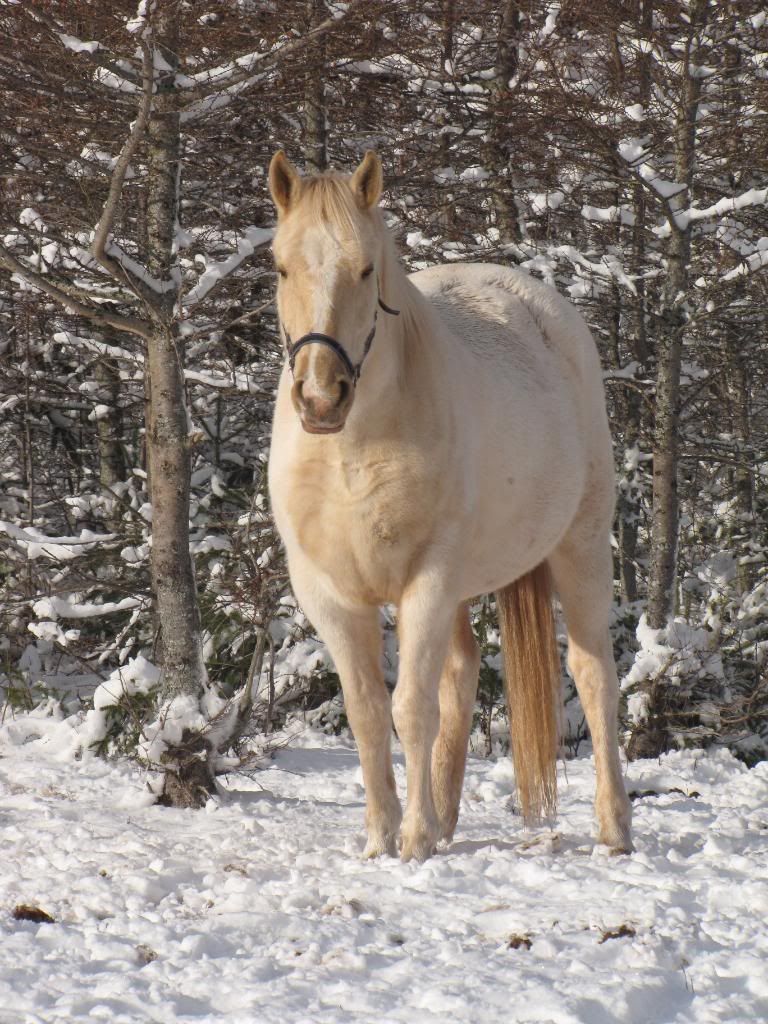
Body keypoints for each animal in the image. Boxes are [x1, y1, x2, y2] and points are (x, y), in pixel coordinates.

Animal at [264, 148, 630, 860]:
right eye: (281, 266)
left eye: (366, 268)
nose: (321, 398)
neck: (353, 451)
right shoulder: (329, 593)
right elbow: (368, 713)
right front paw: (383, 836)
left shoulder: (426, 581)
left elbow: (411, 708)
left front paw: (409, 840)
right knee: (459, 676)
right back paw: (445, 817)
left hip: (578, 550)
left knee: (593, 675)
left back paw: (614, 826)